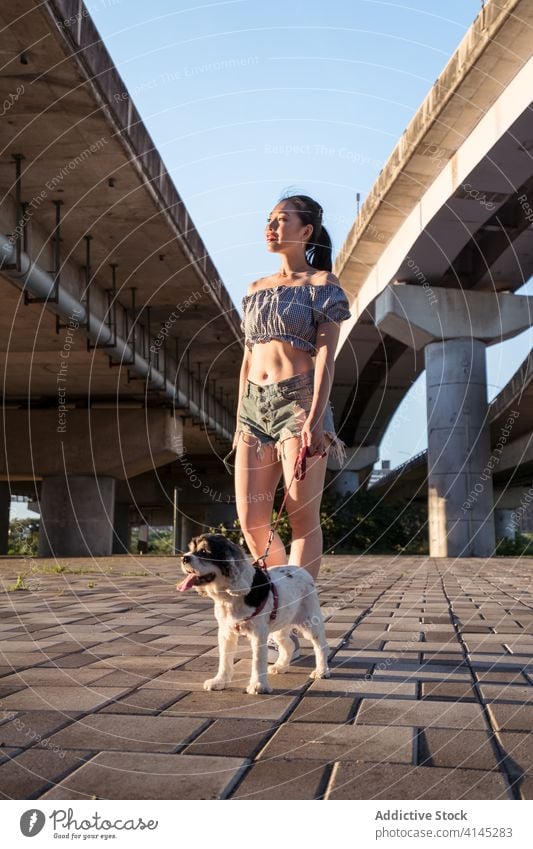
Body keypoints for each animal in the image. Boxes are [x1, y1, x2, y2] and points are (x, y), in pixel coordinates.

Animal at [177, 532, 330, 692]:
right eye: (190, 549)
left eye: (204, 551)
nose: (184, 558)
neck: (230, 597)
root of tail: (302, 570)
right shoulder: (226, 632)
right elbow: (224, 659)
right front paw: (219, 681)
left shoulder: (258, 633)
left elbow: (258, 660)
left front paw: (258, 685)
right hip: (280, 627)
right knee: (289, 645)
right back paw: (280, 667)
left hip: (309, 622)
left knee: (321, 646)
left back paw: (321, 671)